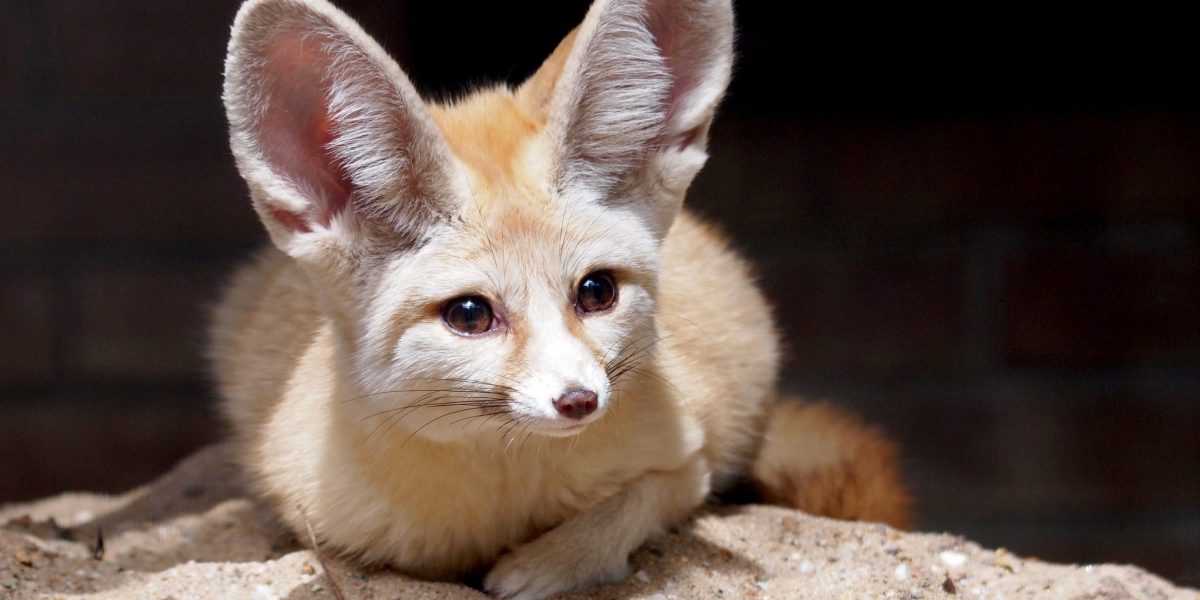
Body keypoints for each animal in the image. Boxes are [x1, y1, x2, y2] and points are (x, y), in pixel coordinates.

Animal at [216, 0, 907, 595]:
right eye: (470, 315)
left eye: (596, 291)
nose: (580, 400)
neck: (508, 490)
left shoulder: (689, 459)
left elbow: (631, 505)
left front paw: (543, 566)